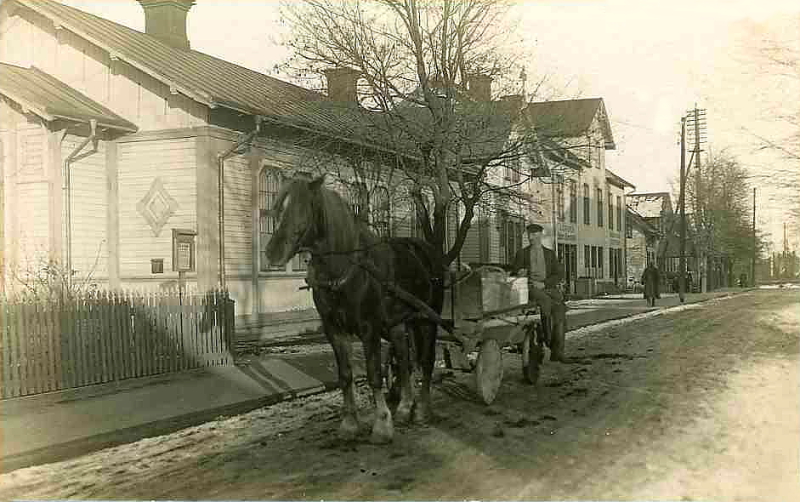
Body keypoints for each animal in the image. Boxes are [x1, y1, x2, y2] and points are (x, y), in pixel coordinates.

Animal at [268, 176, 444, 444]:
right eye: (277, 208)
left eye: (303, 208)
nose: (272, 252)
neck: (346, 270)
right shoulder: (334, 329)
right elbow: (345, 375)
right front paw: (350, 424)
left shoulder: (369, 328)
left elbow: (373, 374)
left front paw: (382, 425)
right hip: (399, 323)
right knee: (405, 360)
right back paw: (405, 407)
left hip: (427, 318)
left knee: (426, 359)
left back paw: (423, 410)